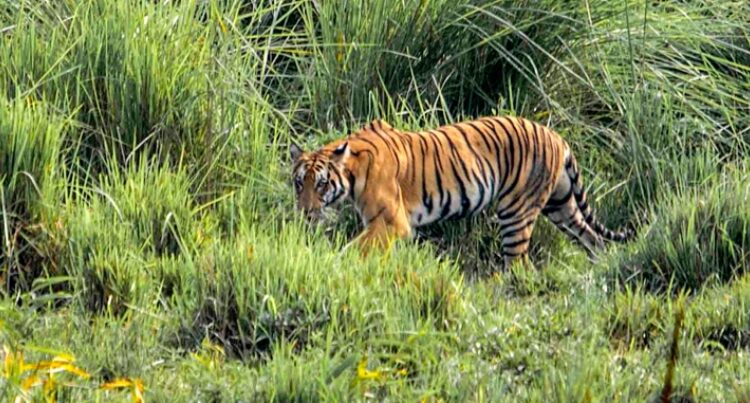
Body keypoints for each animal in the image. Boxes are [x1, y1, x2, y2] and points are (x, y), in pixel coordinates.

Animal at [289, 117, 634, 268]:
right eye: (299, 183)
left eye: (321, 184)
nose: (305, 212)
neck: (353, 170)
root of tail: (556, 136)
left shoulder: (389, 223)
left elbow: (353, 248)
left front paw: (331, 265)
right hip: (560, 204)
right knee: (592, 236)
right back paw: (598, 270)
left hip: (516, 211)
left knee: (518, 264)